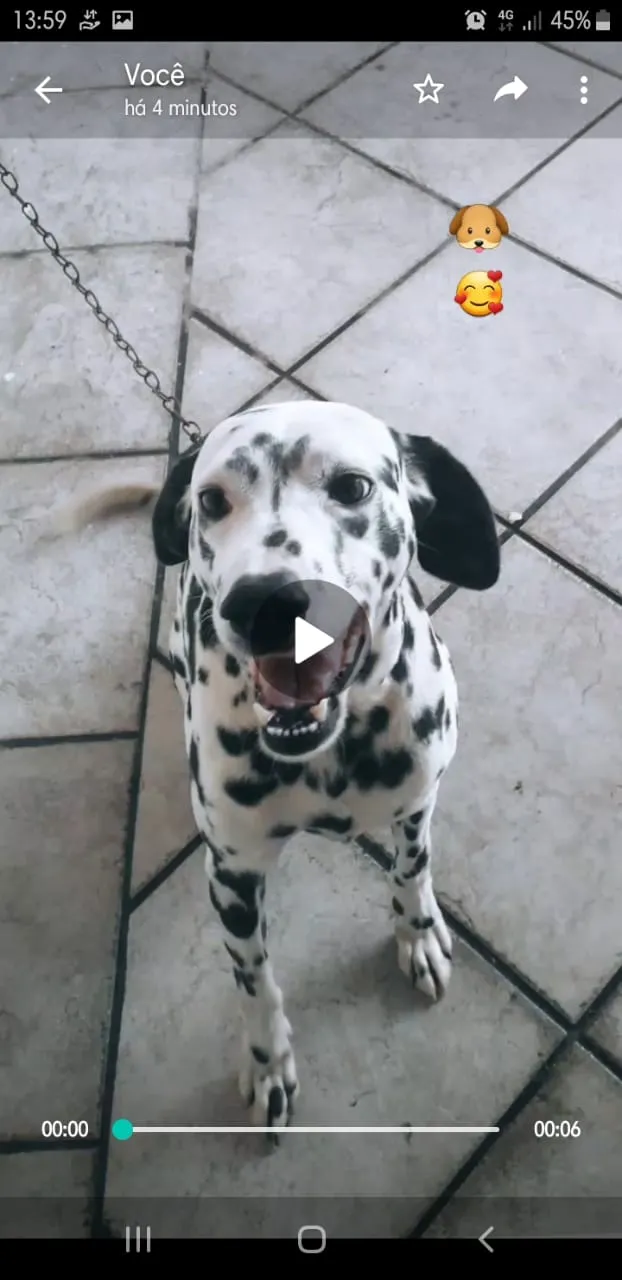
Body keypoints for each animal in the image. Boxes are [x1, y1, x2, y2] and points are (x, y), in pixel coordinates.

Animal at [71, 396, 501, 1131]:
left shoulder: (418, 803)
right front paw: (268, 1061)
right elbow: (256, 981)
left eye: (352, 486)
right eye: (212, 500)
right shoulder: (232, 877)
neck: (330, 749)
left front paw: (417, 933)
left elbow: (413, 868)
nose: (265, 602)